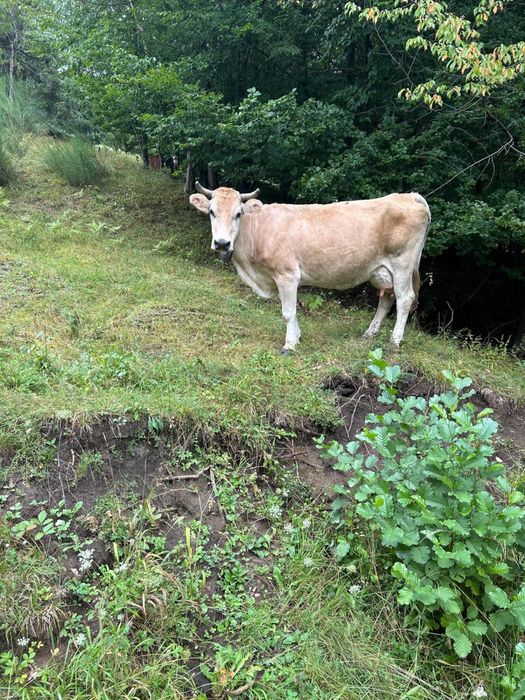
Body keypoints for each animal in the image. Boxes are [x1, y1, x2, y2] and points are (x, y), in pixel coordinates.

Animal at [189, 183, 430, 353]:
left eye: (238, 213)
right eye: (211, 212)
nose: (222, 243)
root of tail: (408, 195)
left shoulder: (287, 275)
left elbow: (288, 312)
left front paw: (289, 345)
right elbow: (291, 310)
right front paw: (297, 337)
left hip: (402, 265)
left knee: (405, 298)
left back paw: (395, 341)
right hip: (381, 270)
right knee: (387, 298)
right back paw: (370, 333)